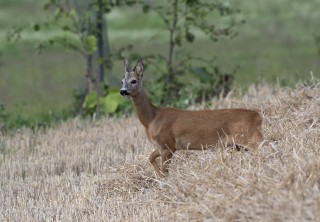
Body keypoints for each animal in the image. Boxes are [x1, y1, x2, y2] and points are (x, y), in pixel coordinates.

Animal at [120, 58, 262, 177]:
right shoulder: (162, 146)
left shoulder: (168, 144)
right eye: (122, 81)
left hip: (251, 139)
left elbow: (165, 171)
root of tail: (258, 117)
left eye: (134, 81)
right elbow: (150, 158)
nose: (122, 91)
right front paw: (158, 177)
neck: (152, 119)